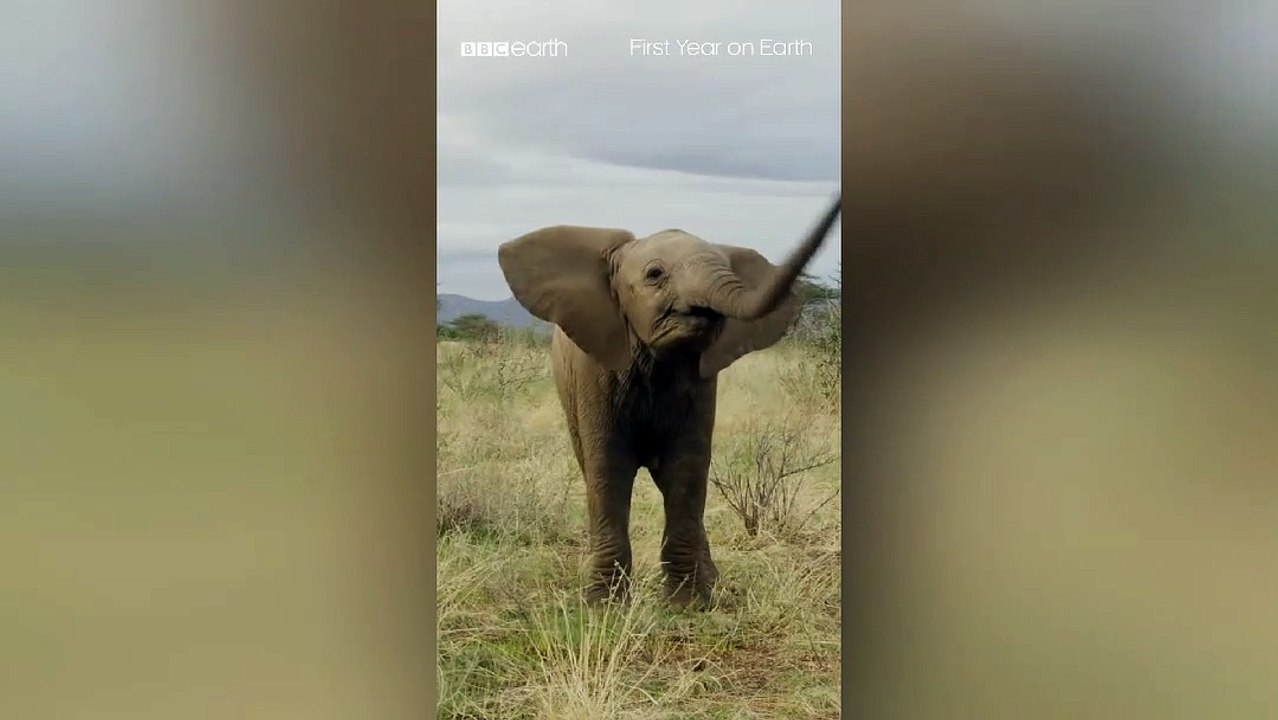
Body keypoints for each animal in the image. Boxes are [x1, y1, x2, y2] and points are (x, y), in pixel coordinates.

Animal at [497, 194, 841, 607]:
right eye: (655, 274)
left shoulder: (700, 381)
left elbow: (686, 469)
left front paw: (688, 604)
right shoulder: (593, 370)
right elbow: (608, 468)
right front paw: (604, 605)